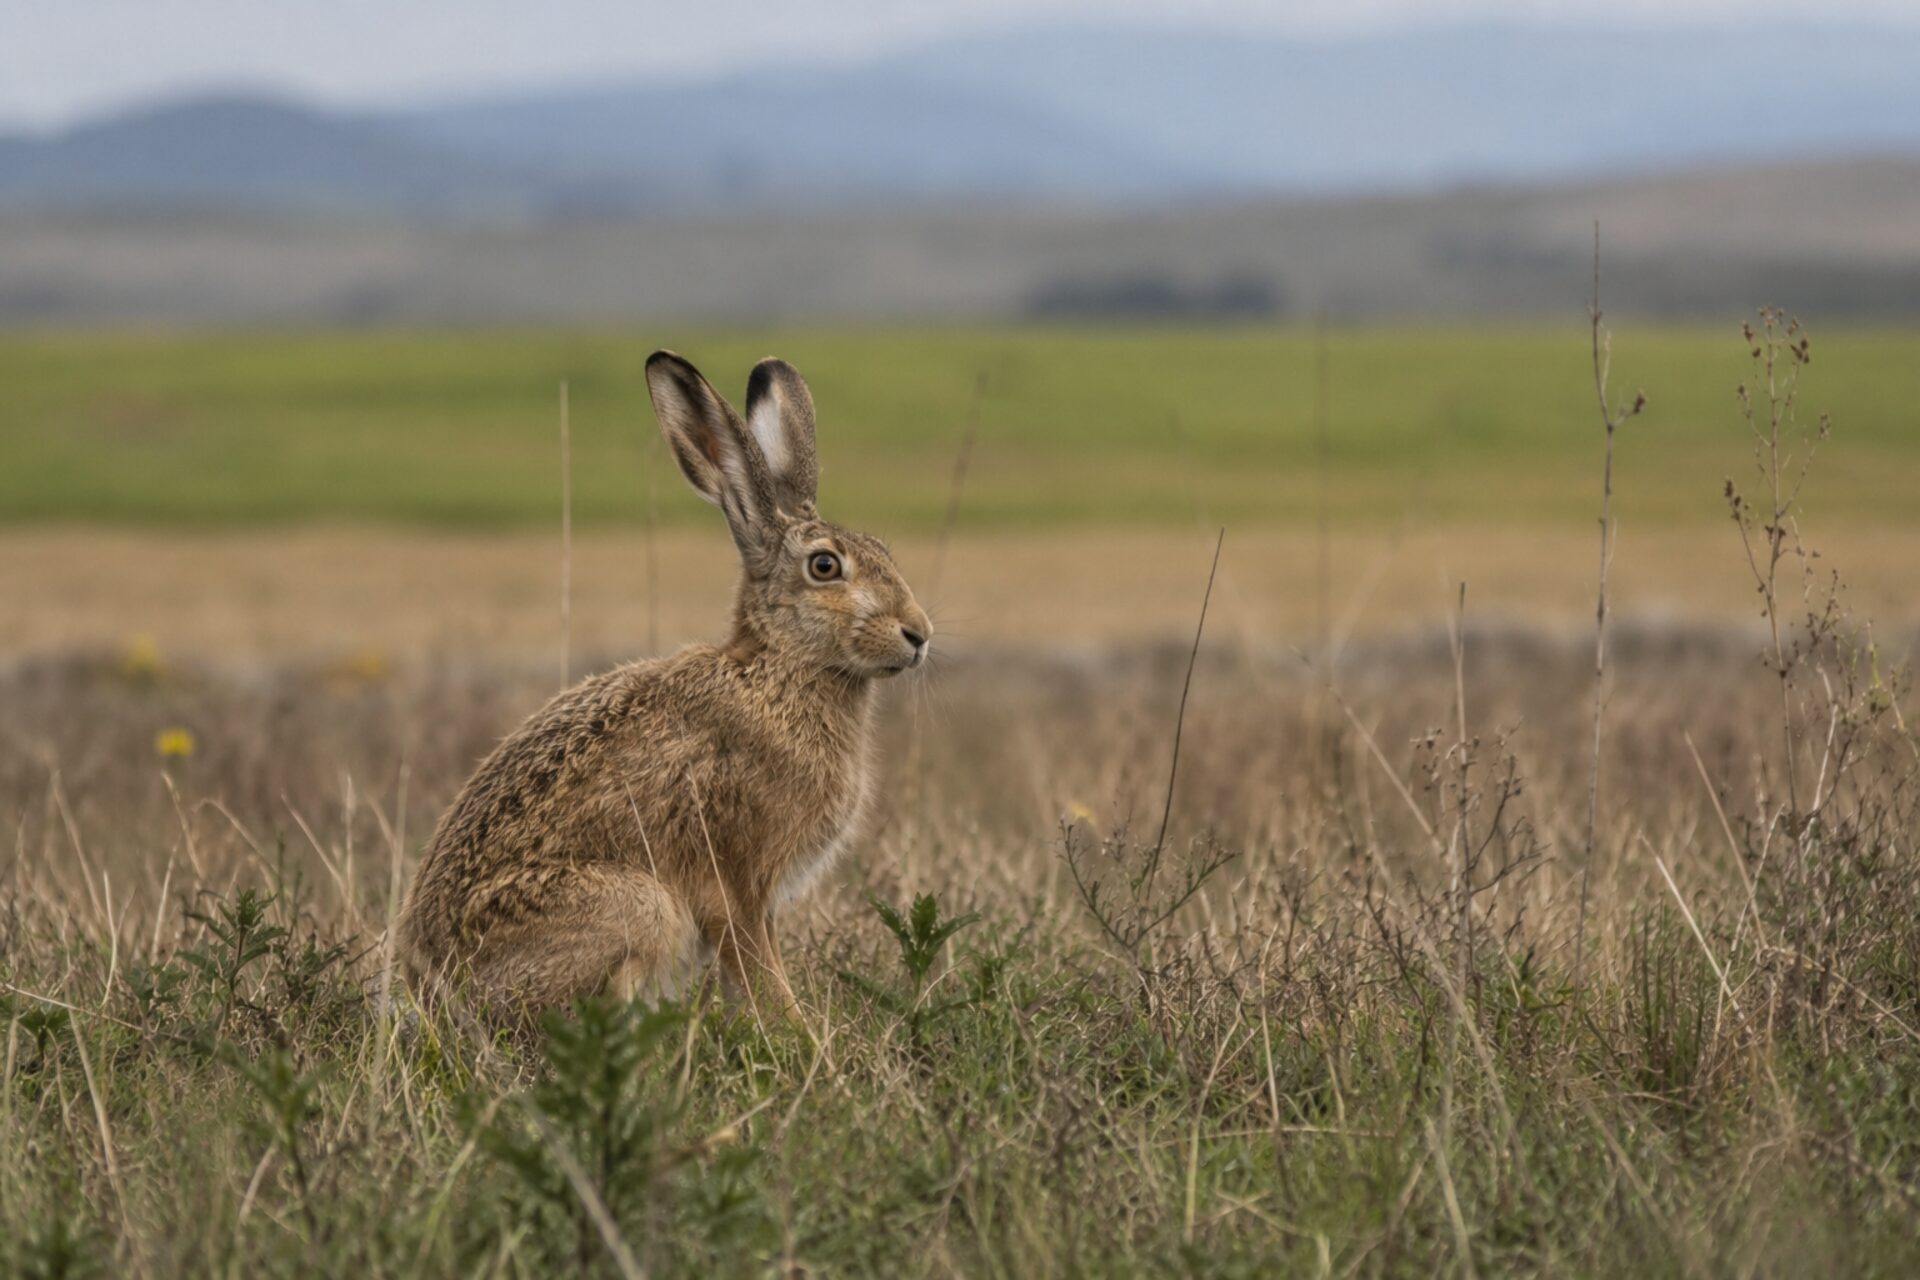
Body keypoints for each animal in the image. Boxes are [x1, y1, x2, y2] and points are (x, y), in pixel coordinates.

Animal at [396, 351, 932, 1023]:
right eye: (825, 566)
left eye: (884, 549)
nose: (919, 634)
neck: (778, 669)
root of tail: (430, 988)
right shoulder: (736, 884)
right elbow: (761, 972)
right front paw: (799, 1033)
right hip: (635, 905)